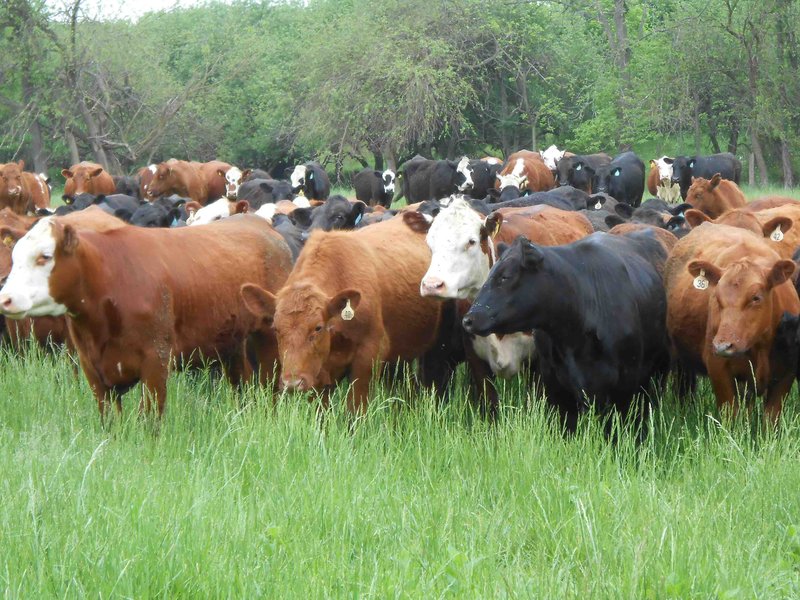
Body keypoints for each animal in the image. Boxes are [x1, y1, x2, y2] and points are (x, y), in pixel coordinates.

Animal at [0, 215, 293, 419]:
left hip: (269, 342)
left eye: (44, 257)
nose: (6, 298)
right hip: (233, 348)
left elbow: (149, 420)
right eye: (14, 257)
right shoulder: (92, 368)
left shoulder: (156, 361)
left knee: (270, 389)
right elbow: (110, 421)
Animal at [238, 217, 455, 413]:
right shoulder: (318, 374)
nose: (292, 383)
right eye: (276, 328)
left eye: (318, 327)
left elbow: (355, 411)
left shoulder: (368, 358)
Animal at [665, 222, 799, 421]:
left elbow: (770, 419)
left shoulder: (786, 374)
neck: (760, 347)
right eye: (716, 297)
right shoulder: (718, 369)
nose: (723, 346)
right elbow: (732, 417)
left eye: (756, 298)